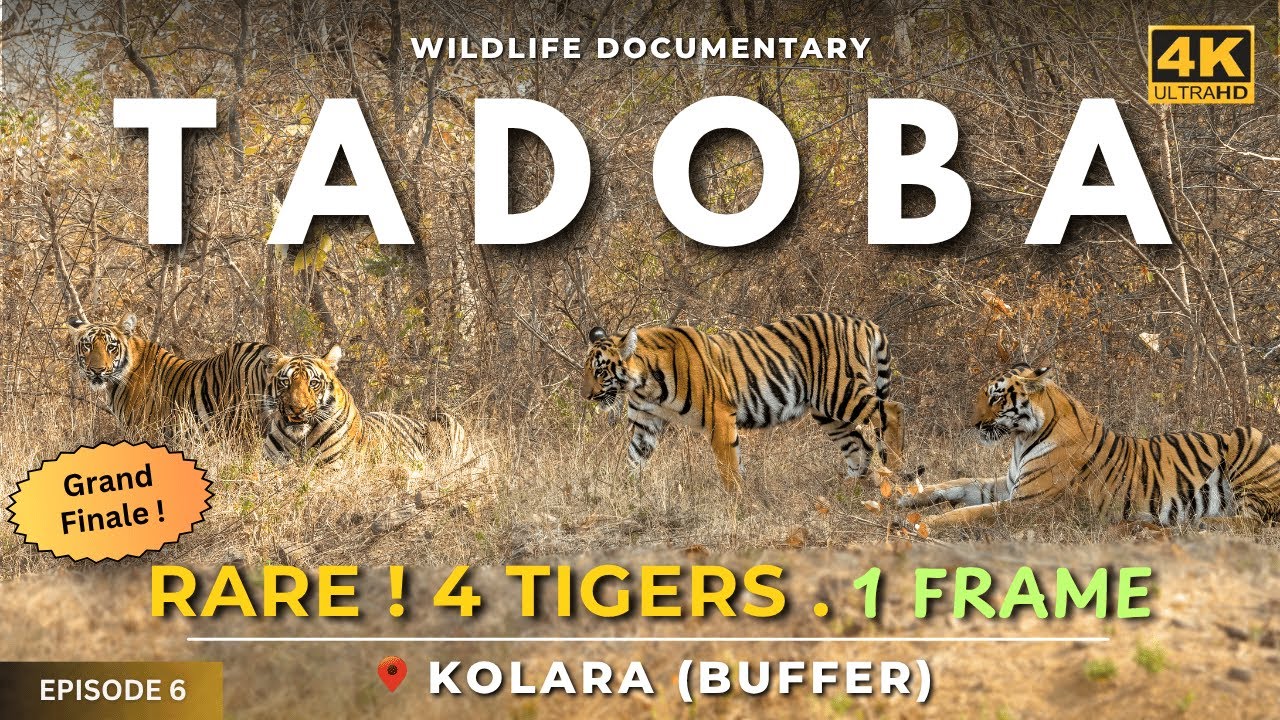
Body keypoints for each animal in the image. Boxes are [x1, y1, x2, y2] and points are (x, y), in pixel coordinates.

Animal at [262, 345, 469, 466]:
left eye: (313, 383)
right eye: (285, 382)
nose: (297, 409)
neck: (299, 439)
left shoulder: (332, 468)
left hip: (447, 421)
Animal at [581, 312, 903, 490]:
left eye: (600, 370)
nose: (586, 395)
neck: (644, 384)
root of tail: (864, 322)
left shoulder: (719, 414)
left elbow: (728, 463)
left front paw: (737, 499)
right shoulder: (645, 424)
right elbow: (634, 458)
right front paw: (627, 493)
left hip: (840, 391)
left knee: (891, 410)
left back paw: (897, 470)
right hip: (827, 413)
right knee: (860, 445)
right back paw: (850, 487)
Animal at [898, 364, 1280, 529]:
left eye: (995, 396)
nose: (973, 424)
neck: (1021, 439)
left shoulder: (1033, 502)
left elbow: (974, 512)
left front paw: (920, 523)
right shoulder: (1008, 486)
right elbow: (960, 484)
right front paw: (905, 498)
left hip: (1248, 439)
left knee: (1253, 521)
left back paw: (1190, 525)